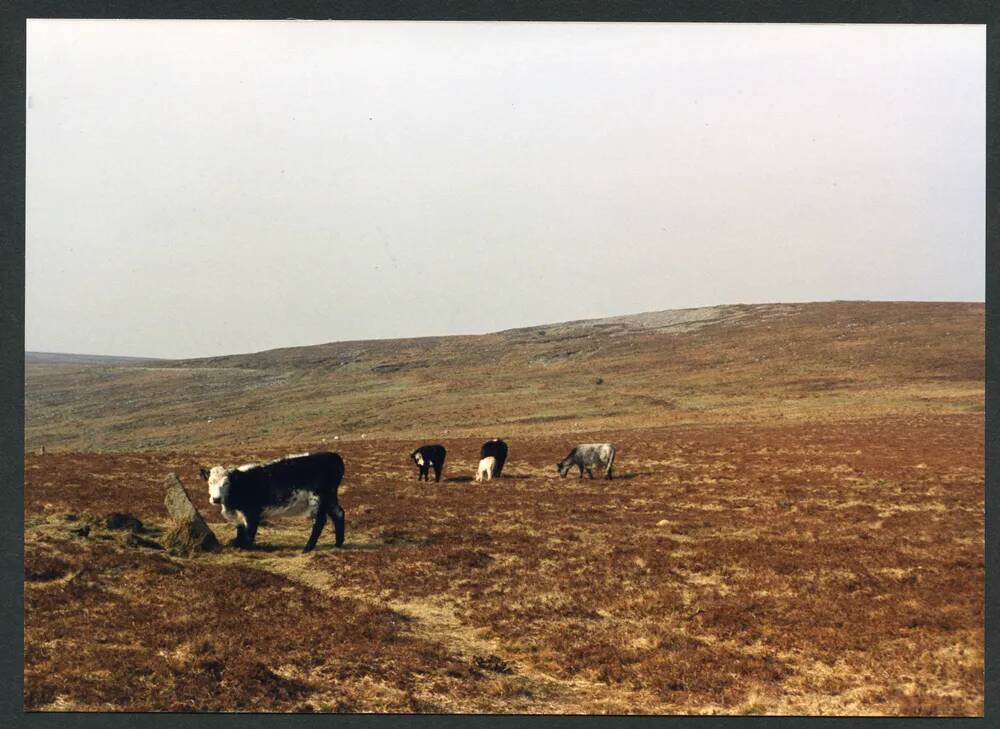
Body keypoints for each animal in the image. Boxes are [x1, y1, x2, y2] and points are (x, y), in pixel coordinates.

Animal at [199, 450, 348, 552]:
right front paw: (238, 545)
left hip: (317, 498)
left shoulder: (252, 513)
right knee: (338, 513)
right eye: (210, 482)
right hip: (330, 497)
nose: (216, 499)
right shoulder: (239, 515)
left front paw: (247, 547)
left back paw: (307, 548)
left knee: (319, 521)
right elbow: (240, 531)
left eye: (226, 483)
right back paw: (338, 544)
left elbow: (250, 532)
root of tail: (332, 456)